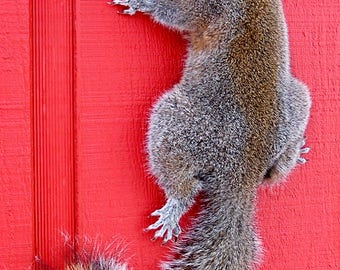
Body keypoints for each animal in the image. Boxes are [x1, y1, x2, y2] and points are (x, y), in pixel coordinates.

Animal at [74, 0, 310, 268]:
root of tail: (243, 174)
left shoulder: (204, 7)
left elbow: (175, 13)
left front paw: (142, 3)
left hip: (176, 125)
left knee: (183, 184)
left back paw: (175, 206)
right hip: (299, 101)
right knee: (275, 174)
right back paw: (296, 153)